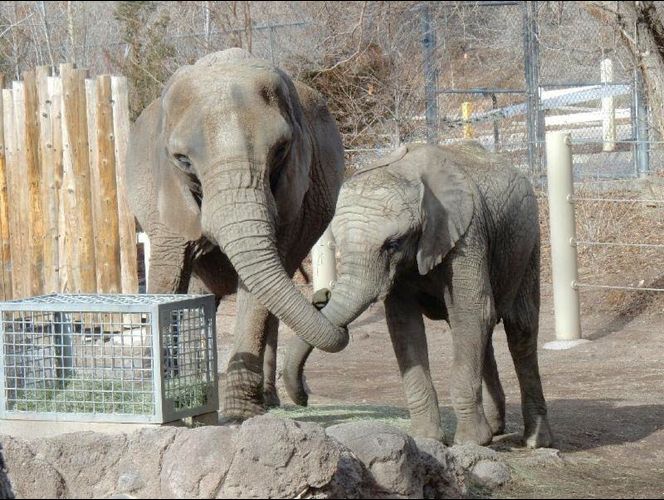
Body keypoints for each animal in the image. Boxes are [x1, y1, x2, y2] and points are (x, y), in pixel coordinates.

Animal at [126, 48, 350, 420]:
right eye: (183, 160)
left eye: (280, 150)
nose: (322, 298)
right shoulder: (165, 192)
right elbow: (168, 275)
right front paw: (165, 404)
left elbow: (258, 293)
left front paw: (238, 416)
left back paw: (266, 402)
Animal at [282, 142, 553, 448]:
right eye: (337, 244)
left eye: (392, 244)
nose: (304, 399)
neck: (405, 173)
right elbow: (405, 326)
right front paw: (427, 438)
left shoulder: (467, 236)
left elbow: (473, 312)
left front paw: (471, 442)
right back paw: (495, 430)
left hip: (528, 243)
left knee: (520, 330)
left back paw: (535, 441)